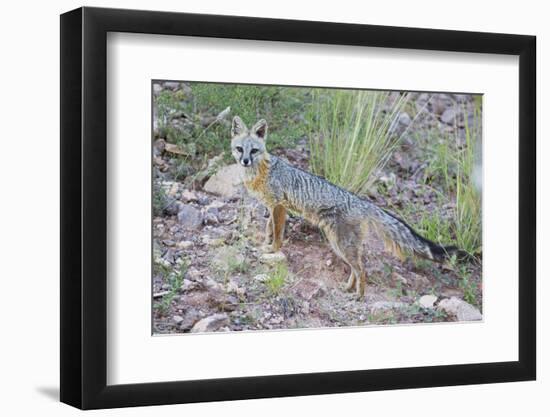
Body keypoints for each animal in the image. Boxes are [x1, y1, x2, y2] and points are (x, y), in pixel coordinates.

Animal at [231, 114, 464, 296]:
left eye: (254, 151)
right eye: (240, 149)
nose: (244, 161)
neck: (260, 173)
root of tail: (361, 202)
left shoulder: (279, 205)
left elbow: (278, 233)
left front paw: (272, 250)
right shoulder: (272, 206)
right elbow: (269, 228)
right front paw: (265, 244)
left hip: (342, 244)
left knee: (362, 270)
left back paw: (359, 296)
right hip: (341, 245)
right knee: (355, 268)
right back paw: (347, 288)